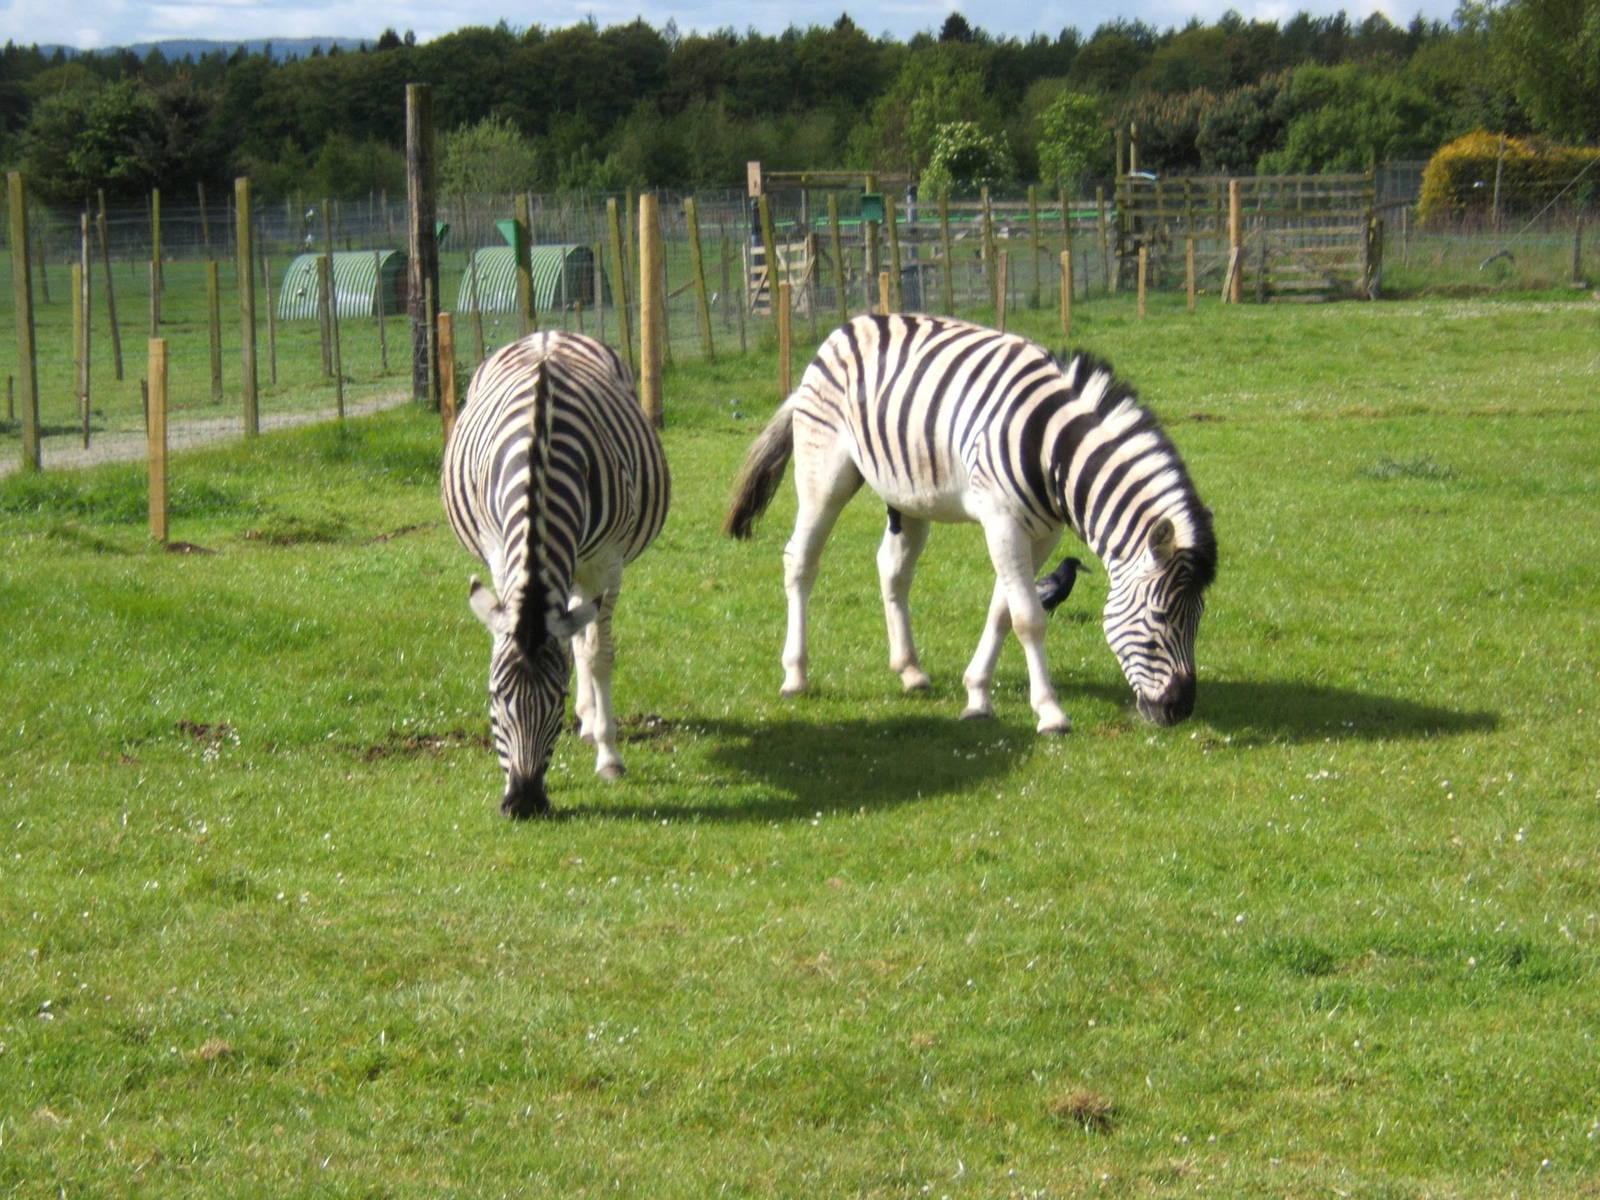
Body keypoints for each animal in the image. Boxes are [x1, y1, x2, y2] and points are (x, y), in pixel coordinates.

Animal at [443, 330, 670, 817]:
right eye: (493, 696)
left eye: (557, 700)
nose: (524, 803)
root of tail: (547, 333)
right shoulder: (499, 555)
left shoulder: (606, 564)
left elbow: (598, 653)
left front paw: (609, 754)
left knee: (581, 636)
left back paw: (592, 720)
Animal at [723, 314, 1215, 732]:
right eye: (1160, 618)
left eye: (1199, 617)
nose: (1180, 710)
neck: (1052, 447)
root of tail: (849, 325)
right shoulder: (1001, 521)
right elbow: (1028, 617)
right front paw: (1050, 712)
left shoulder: (1042, 533)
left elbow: (1004, 610)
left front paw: (978, 696)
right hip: (825, 472)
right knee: (800, 561)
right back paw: (795, 675)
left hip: (907, 494)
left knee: (892, 569)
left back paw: (910, 670)